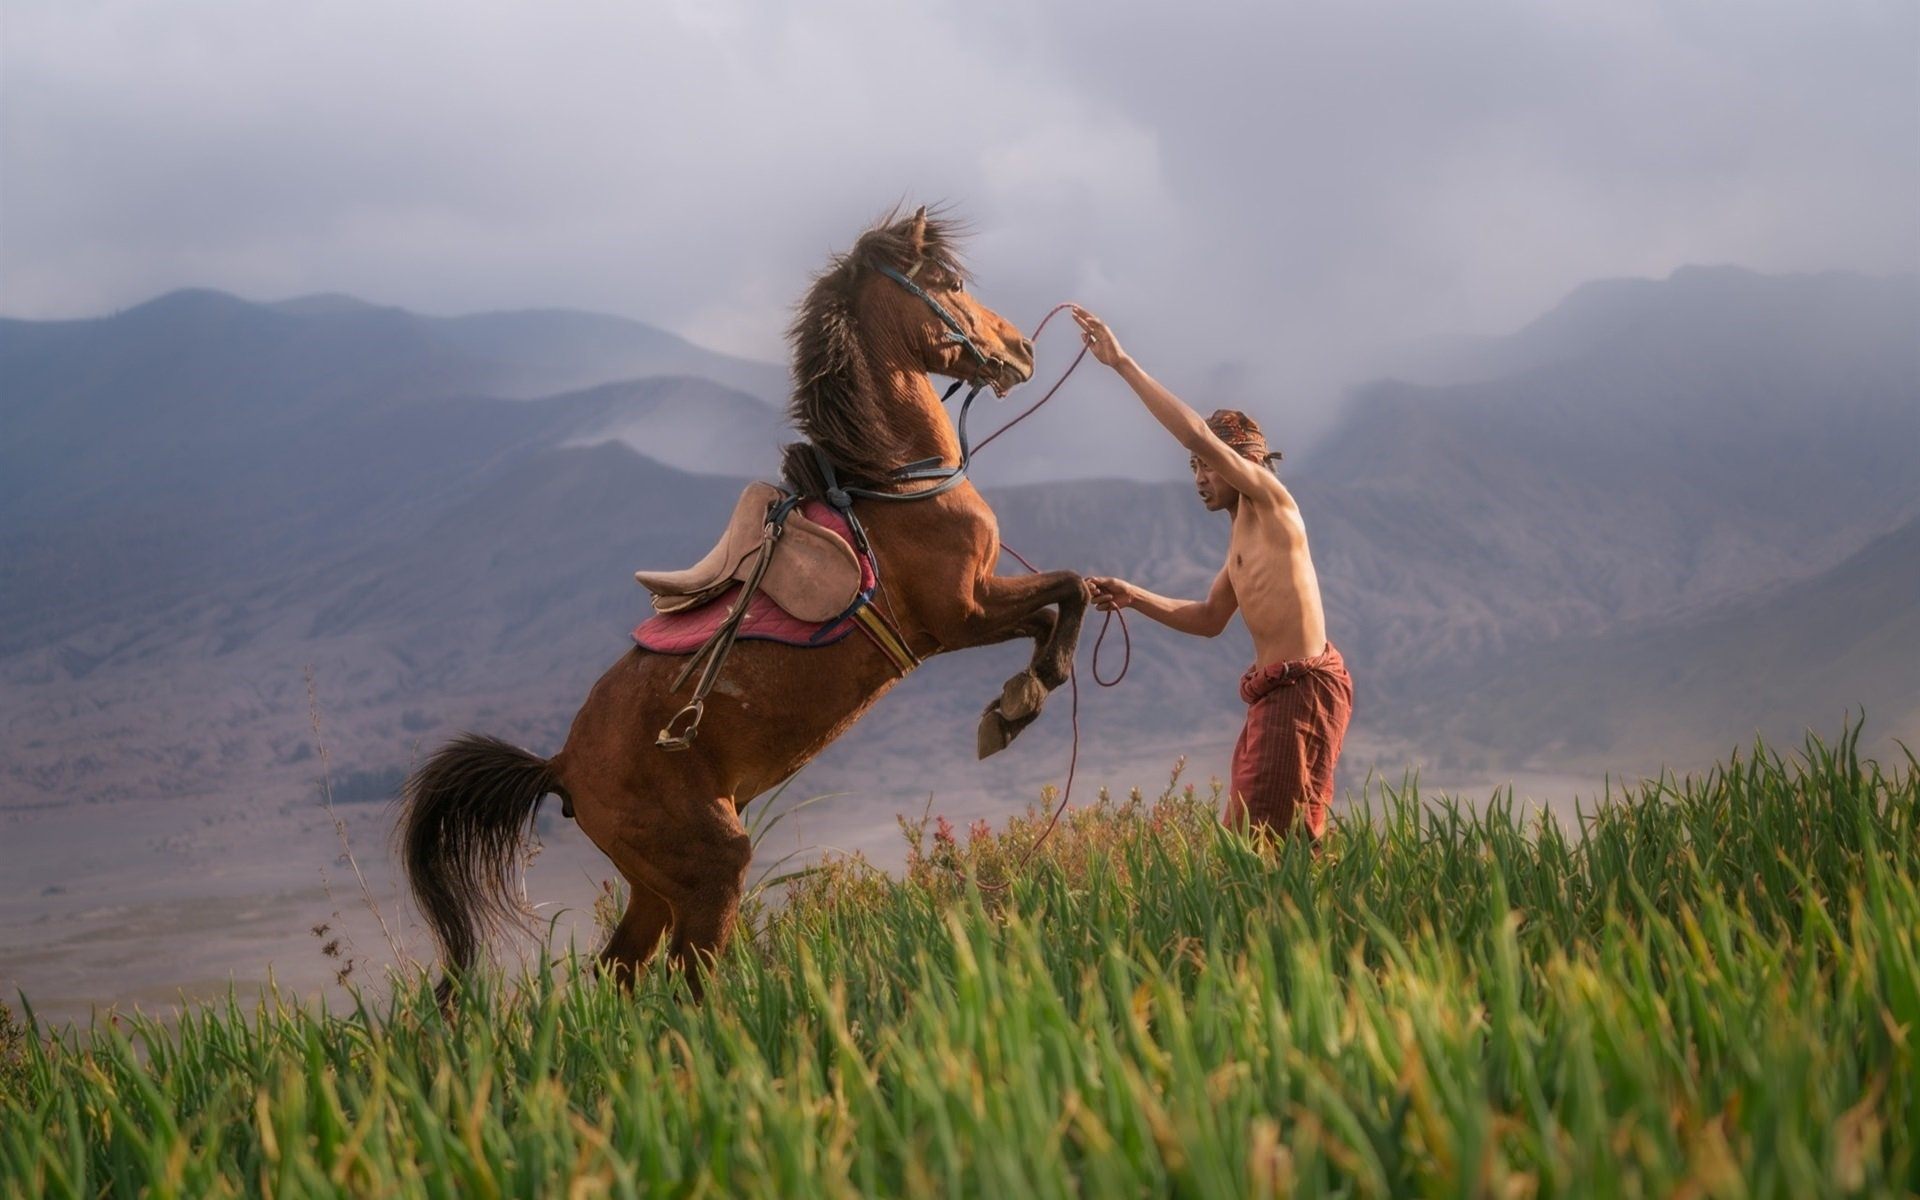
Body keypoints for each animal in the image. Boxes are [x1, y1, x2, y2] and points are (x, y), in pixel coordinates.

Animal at [397, 210, 1090, 998]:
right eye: (949, 284)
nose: (1021, 350)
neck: (894, 484)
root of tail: (561, 764)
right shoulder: (960, 615)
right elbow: (1073, 588)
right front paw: (1025, 700)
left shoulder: (975, 609)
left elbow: (1057, 606)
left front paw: (1013, 702)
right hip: (710, 870)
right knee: (688, 979)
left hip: (654, 887)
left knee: (619, 973)